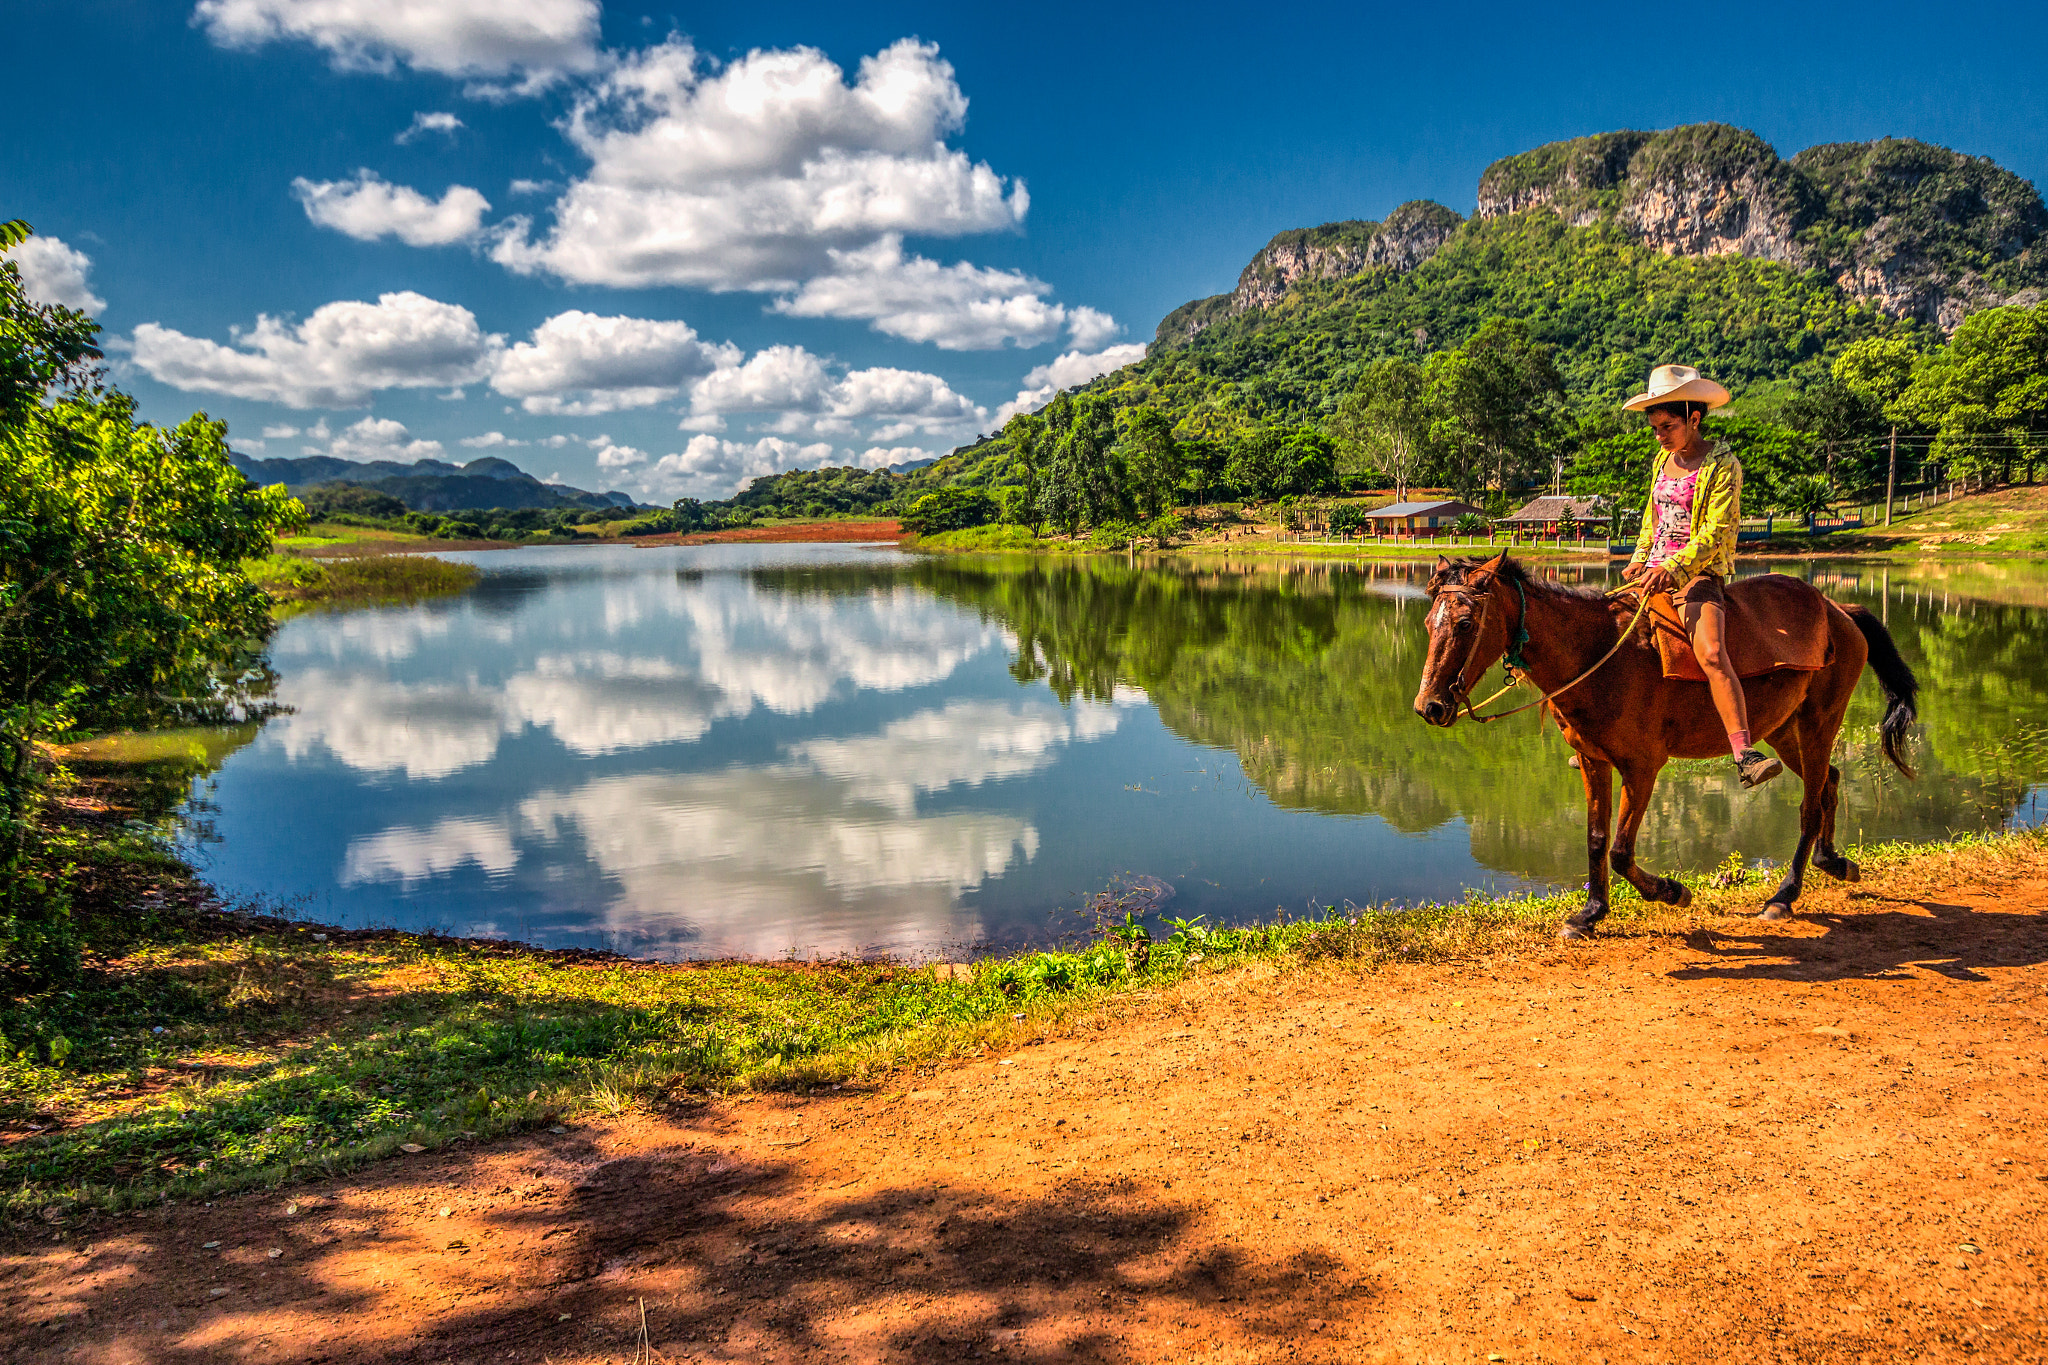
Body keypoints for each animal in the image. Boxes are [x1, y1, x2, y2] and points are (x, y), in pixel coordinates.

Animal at [1417, 548, 1908, 933]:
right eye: (1426, 623)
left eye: (1465, 623)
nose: (1429, 707)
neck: (1597, 652)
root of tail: (1838, 609)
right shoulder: (1592, 759)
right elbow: (1596, 838)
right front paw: (1591, 913)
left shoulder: (1642, 766)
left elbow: (1620, 850)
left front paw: (1671, 891)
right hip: (1784, 728)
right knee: (1829, 781)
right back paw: (1833, 861)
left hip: (1820, 721)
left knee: (1810, 803)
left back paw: (1785, 895)